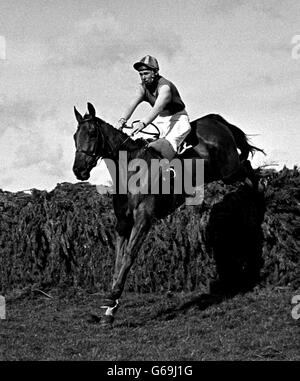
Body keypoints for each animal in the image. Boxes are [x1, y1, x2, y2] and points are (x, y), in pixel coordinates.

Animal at [72, 101, 264, 326]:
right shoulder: (123, 223)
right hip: (225, 173)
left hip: (229, 171)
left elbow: (128, 256)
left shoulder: (143, 219)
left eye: (92, 133)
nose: (78, 170)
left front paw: (112, 299)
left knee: (249, 168)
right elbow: (118, 261)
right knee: (248, 171)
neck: (129, 170)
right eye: (75, 136)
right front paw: (110, 311)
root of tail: (213, 119)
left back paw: (259, 196)